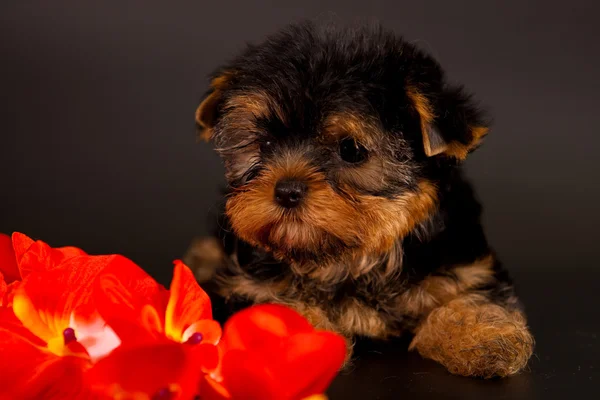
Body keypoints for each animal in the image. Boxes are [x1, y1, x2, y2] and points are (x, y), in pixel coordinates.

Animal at [188, 21, 536, 378]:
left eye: (351, 150)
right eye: (266, 144)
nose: (286, 191)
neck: (352, 260)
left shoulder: (465, 264)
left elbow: (473, 293)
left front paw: (482, 334)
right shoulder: (245, 284)